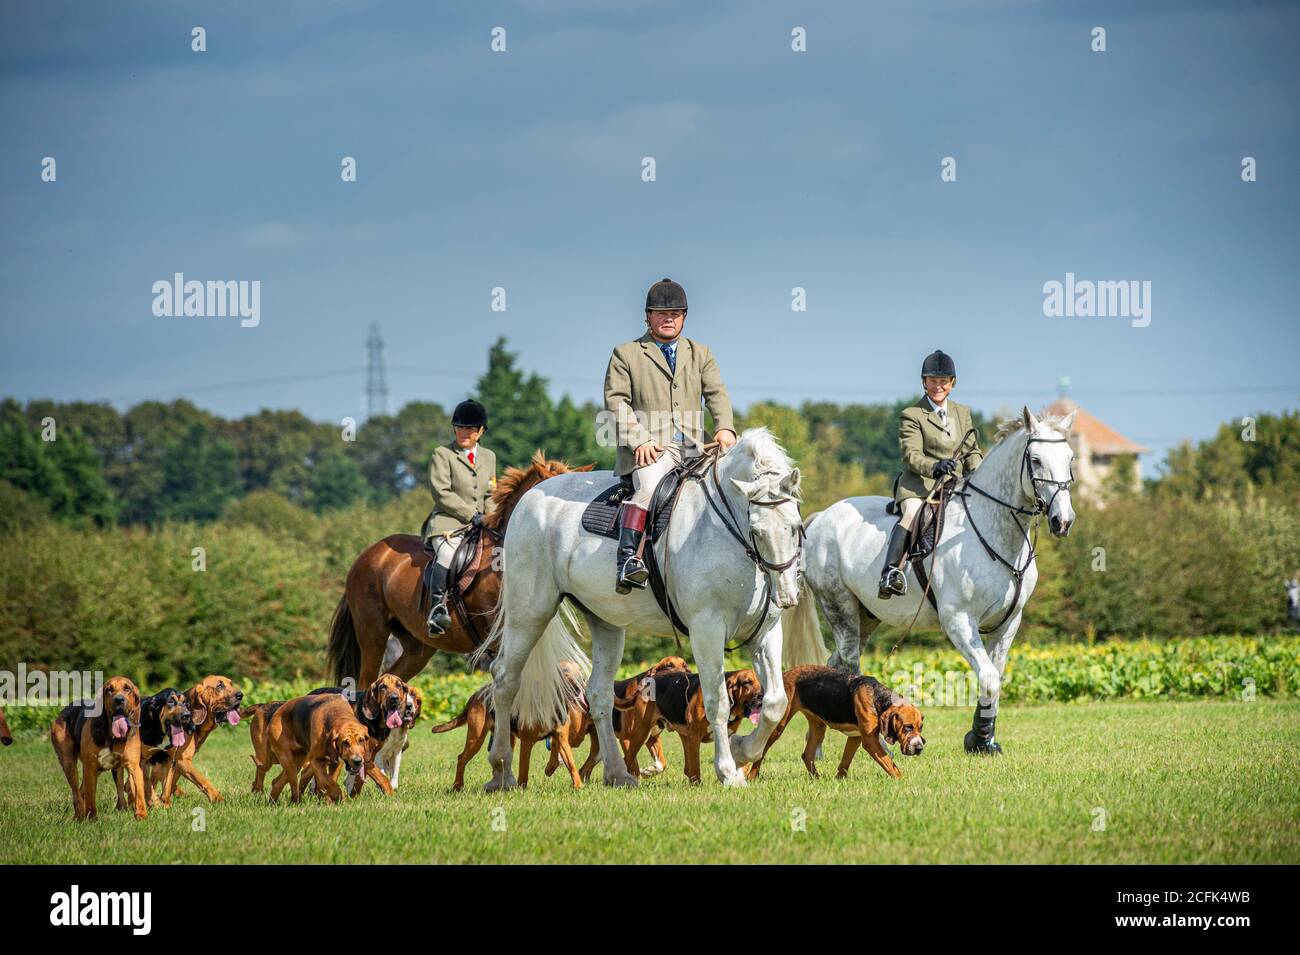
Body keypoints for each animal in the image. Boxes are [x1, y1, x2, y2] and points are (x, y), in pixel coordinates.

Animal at [480, 428, 800, 789]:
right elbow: (718, 700)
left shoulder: (765, 632)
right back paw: (501, 771)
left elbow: (775, 703)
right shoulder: (706, 630)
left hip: (604, 622)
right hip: (529, 613)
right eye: (757, 530)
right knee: (506, 679)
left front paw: (742, 750)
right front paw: (729, 771)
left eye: (794, 525)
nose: (786, 595)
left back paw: (618, 773)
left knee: (598, 694)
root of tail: (530, 498)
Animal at [780, 407, 1076, 748]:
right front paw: (978, 738)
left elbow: (996, 678)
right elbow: (988, 678)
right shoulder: (959, 620)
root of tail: (820, 519)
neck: (994, 530)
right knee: (851, 665)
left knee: (835, 664)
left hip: (866, 615)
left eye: (1070, 458)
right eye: (1036, 460)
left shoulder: (1008, 621)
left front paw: (985, 740)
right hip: (839, 607)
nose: (1063, 521)